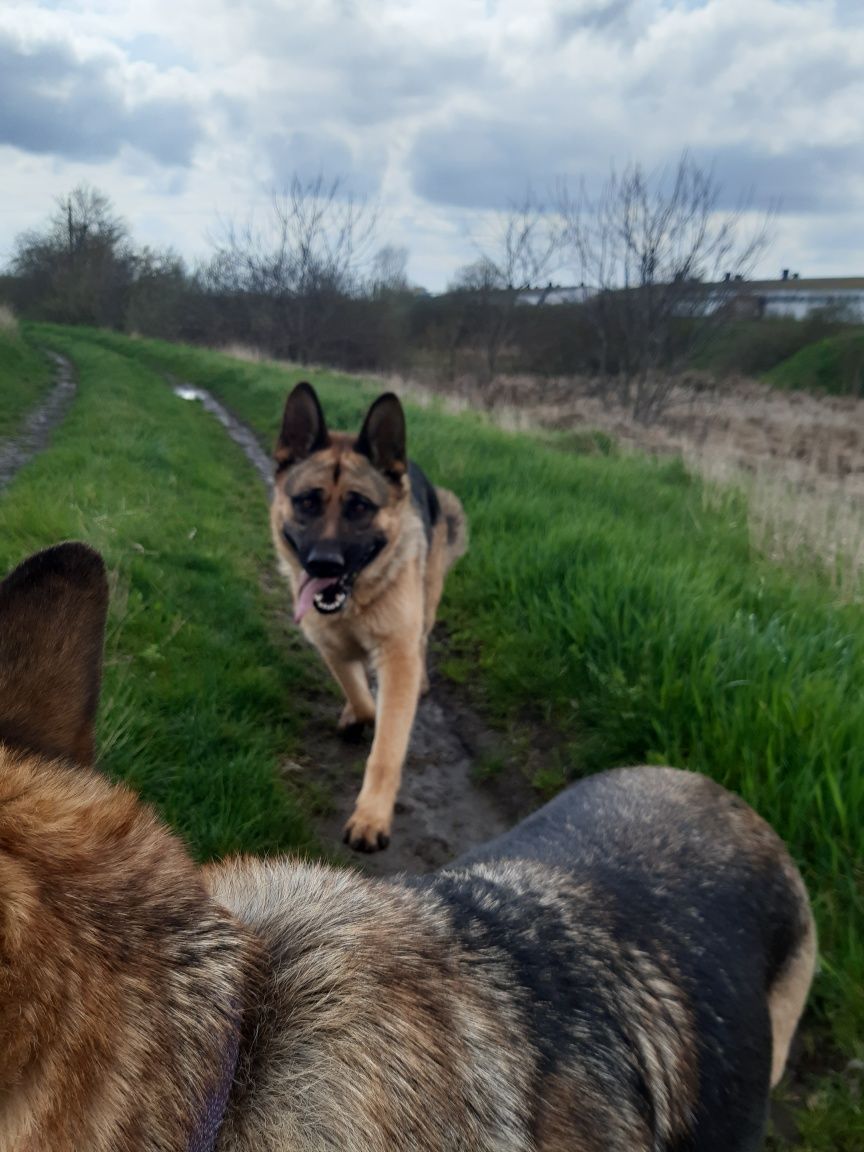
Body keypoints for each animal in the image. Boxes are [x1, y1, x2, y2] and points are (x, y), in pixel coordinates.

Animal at [274, 382, 470, 852]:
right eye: (307, 502)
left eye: (360, 507)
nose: (323, 564)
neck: (356, 601)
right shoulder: (330, 646)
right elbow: (362, 697)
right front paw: (357, 711)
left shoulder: (398, 655)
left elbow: (387, 745)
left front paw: (371, 816)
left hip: (426, 604)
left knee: (423, 642)